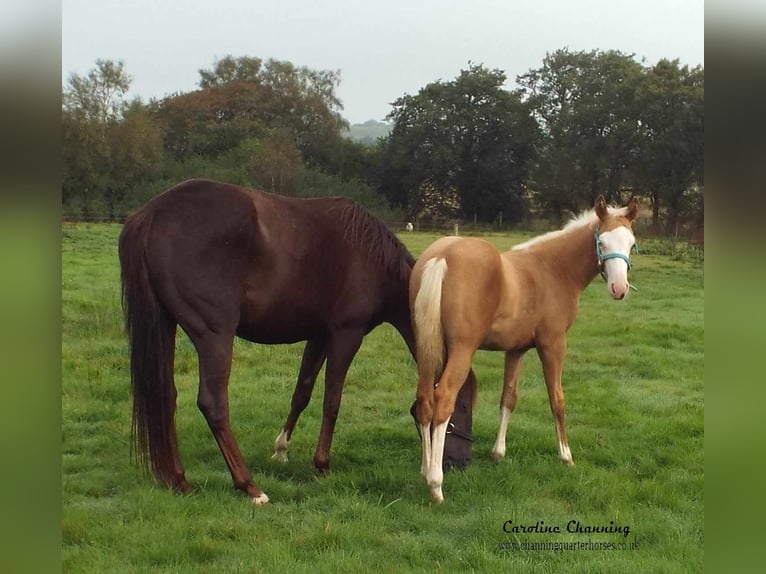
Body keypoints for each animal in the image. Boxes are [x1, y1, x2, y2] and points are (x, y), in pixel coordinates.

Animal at [118, 178, 474, 506]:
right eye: (462, 406)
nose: (461, 462)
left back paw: (179, 480)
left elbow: (301, 393)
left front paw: (281, 450)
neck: (371, 257)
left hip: (166, 325)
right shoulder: (346, 335)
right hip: (214, 334)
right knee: (213, 404)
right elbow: (332, 401)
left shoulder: (318, 336)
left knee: (166, 396)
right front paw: (322, 464)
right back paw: (249, 486)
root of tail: (151, 215)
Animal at [412, 196, 640, 502]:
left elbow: (508, 398)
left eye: (630, 243)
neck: (551, 270)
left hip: (428, 350)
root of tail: (443, 256)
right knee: (443, 400)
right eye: (601, 242)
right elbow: (557, 401)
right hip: (461, 351)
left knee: (424, 400)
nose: (619, 288)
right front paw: (566, 457)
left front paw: (498, 453)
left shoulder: (515, 350)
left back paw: (425, 470)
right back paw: (436, 485)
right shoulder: (553, 345)